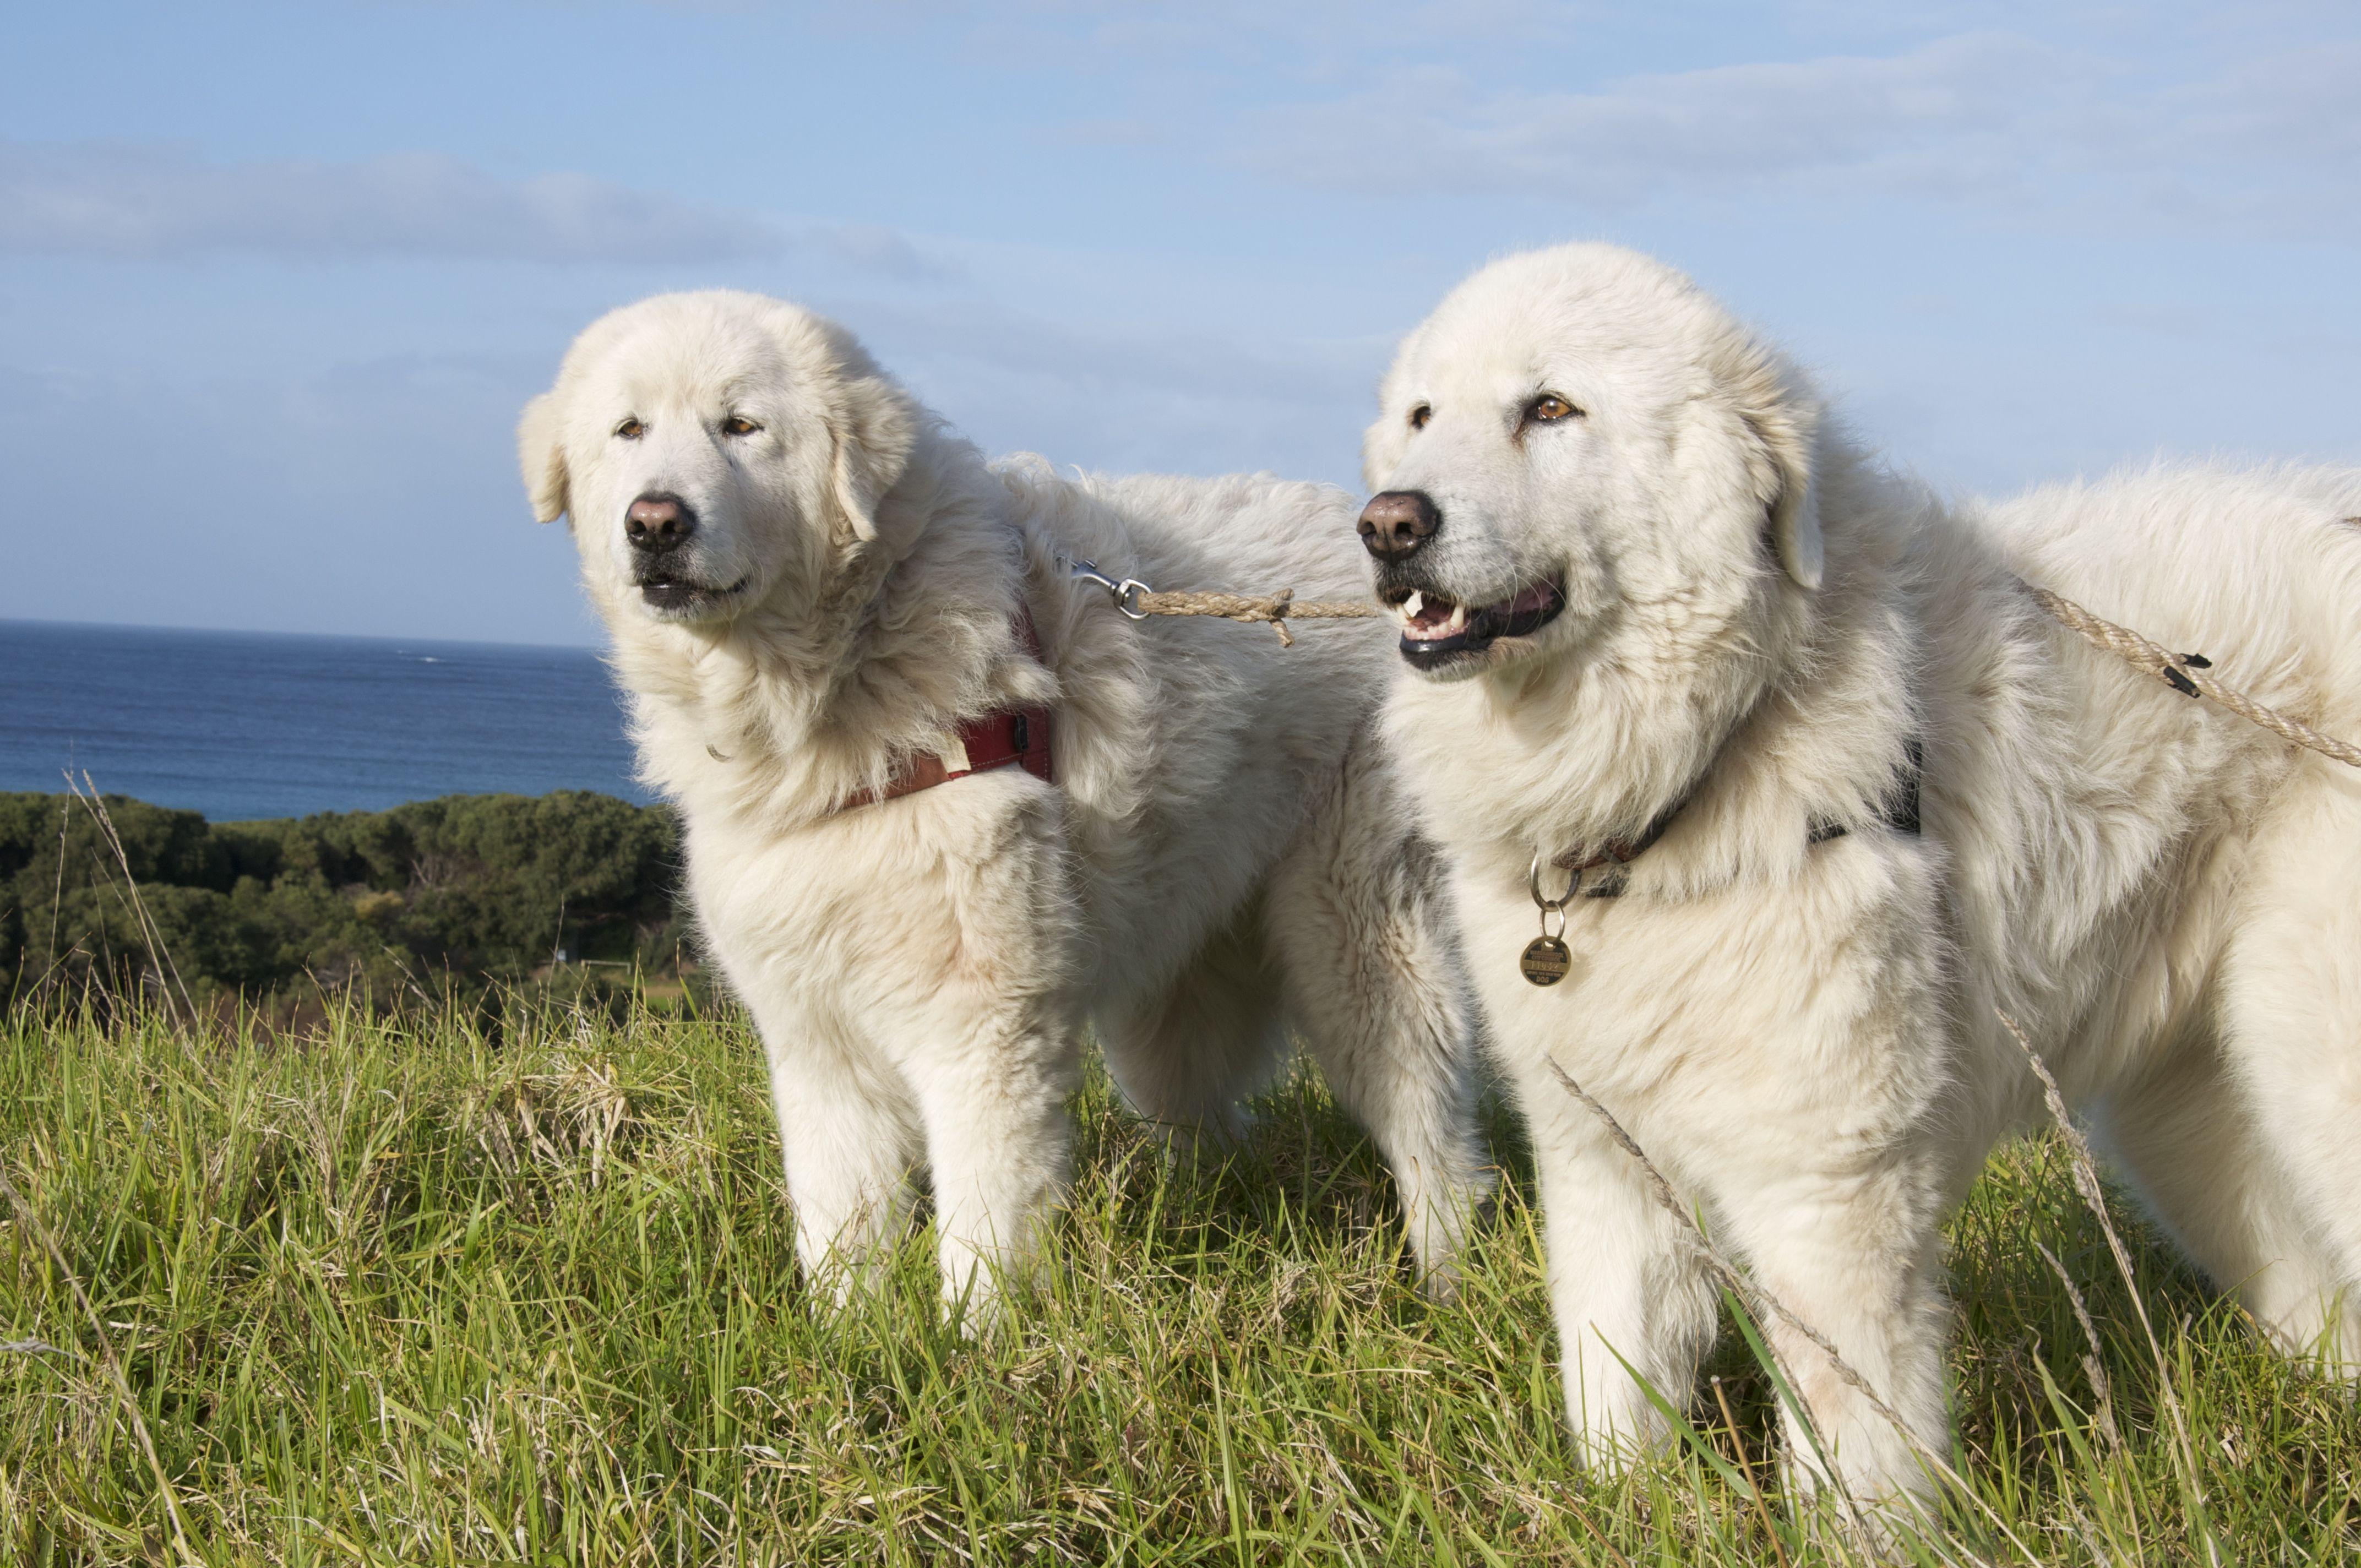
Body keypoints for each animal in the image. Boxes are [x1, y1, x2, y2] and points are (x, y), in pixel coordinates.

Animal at [1359, 242, 2361, 1521]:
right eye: (1420, 417)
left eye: (1549, 408)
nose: (1387, 525)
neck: (1710, 753)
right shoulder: (1600, 1163)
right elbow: (1614, 1395)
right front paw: (1622, 1515)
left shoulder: (1826, 1188)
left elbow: (1852, 1441)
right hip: (2205, 1121)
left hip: (2312, 1077)